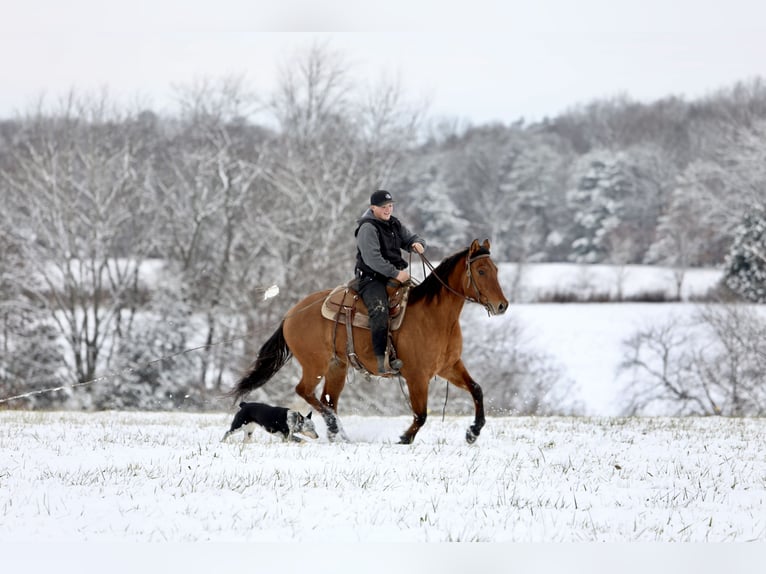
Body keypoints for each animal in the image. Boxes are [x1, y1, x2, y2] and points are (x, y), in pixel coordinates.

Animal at [228, 239, 509, 444]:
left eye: (496, 270)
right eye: (481, 270)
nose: (502, 306)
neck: (435, 317)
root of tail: (291, 314)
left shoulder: (449, 367)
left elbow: (477, 389)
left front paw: (473, 431)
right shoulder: (417, 376)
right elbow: (421, 414)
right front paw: (404, 438)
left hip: (337, 367)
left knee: (328, 399)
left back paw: (337, 433)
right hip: (315, 365)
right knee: (304, 391)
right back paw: (334, 428)